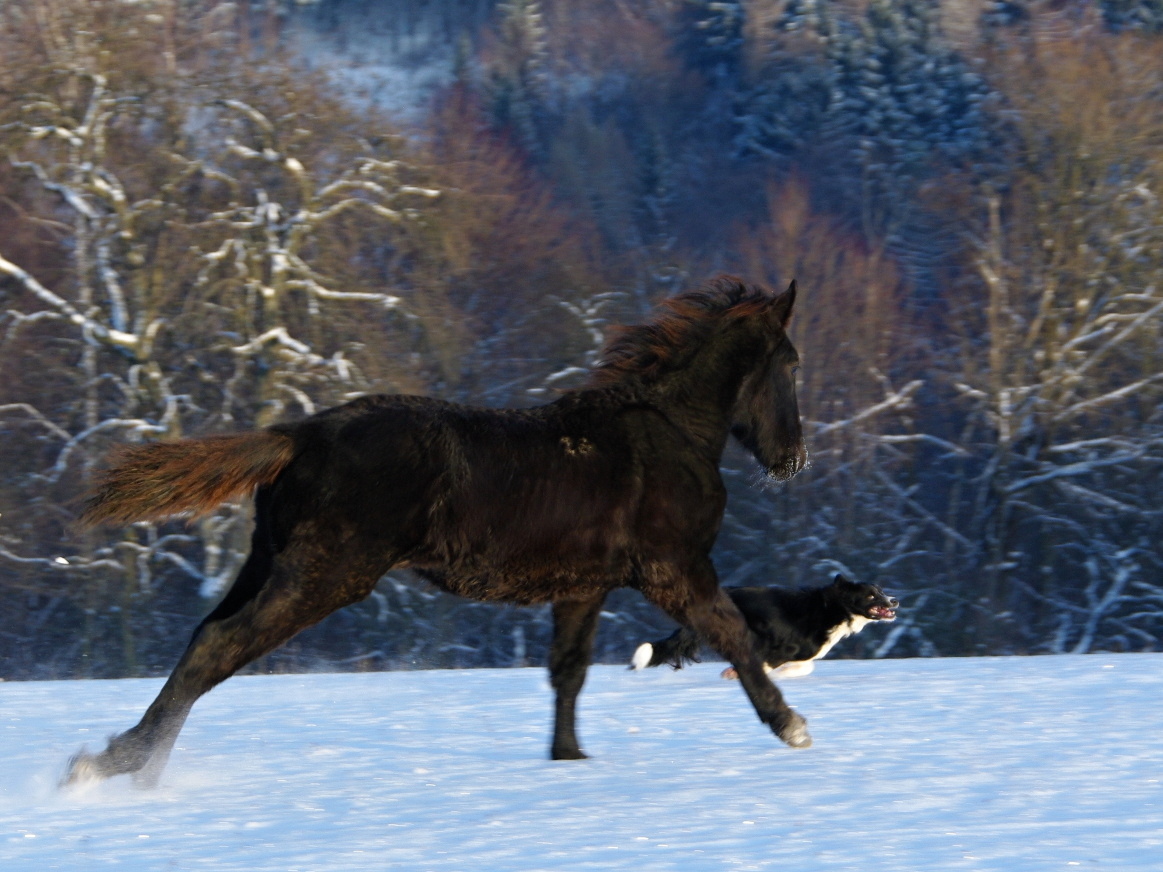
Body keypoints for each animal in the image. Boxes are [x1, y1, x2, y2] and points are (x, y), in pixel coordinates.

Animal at [63, 276, 809, 790]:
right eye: (793, 362)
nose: (793, 460)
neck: (668, 433)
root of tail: (299, 435)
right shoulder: (673, 567)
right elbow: (733, 633)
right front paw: (790, 725)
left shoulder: (583, 586)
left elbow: (567, 671)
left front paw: (567, 759)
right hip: (322, 576)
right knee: (221, 646)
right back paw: (114, 765)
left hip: (267, 562)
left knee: (202, 641)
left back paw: (130, 763)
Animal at [632, 576, 893, 678]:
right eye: (871, 596)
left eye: (881, 591)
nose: (895, 601)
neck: (833, 609)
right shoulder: (778, 647)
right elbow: (770, 663)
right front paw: (733, 673)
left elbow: (805, 667)